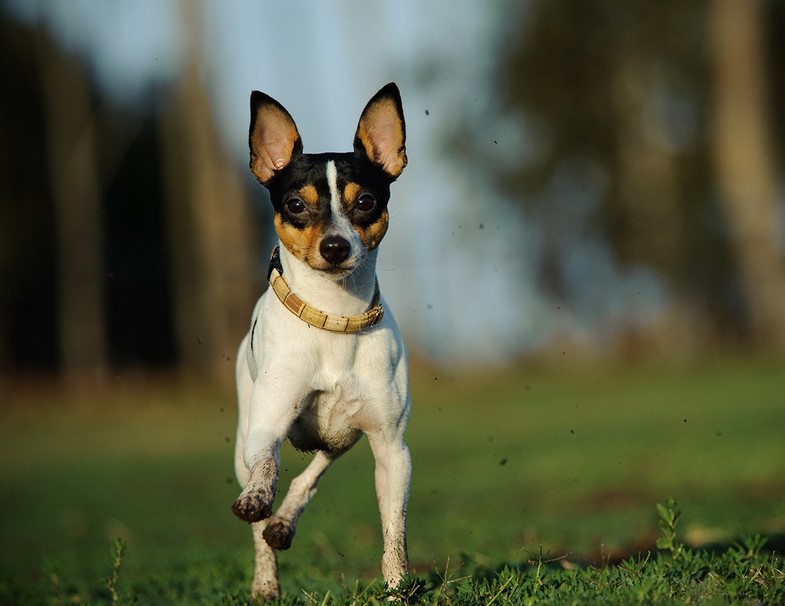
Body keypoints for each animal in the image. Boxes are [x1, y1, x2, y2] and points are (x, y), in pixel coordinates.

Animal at [231, 83, 410, 600]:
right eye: (295, 204)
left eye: (366, 201)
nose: (335, 247)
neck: (334, 320)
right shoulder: (266, 427)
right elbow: (266, 472)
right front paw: (258, 500)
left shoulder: (392, 449)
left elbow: (394, 533)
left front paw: (397, 591)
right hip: (245, 431)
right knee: (260, 518)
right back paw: (265, 581)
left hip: (342, 436)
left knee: (312, 476)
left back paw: (284, 523)